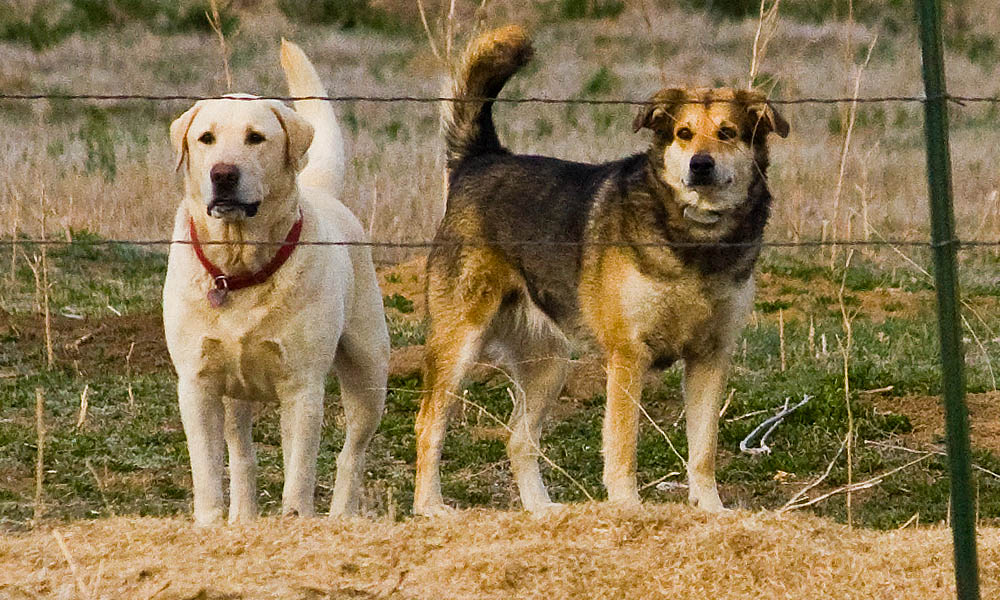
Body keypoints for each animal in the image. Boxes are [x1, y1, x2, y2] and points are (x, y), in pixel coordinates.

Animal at [162, 39, 388, 524]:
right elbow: (208, 470)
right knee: (242, 455)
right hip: (234, 397)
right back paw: (243, 517)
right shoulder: (198, 384)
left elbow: (299, 470)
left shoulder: (302, 387)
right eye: (205, 138)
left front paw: (296, 519)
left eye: (255, 137)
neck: (239, 268)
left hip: (369, 372)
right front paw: (210, 522)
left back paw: (341, 515)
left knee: (352, 453)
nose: (223, 173)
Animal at [414, 27, 788, 516]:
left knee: (518, 440)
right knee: (429, 425)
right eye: (684, 134)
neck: (696, 240)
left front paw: (711, 511)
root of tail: (482, 159)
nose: (700, 164)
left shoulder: (711, 357)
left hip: (550, 364)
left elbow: (703, 450)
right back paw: (430, 507)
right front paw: (627, 507)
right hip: (460, 343)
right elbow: (623, 443)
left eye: (727, 133)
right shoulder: (628, 355)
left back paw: (542, 510)